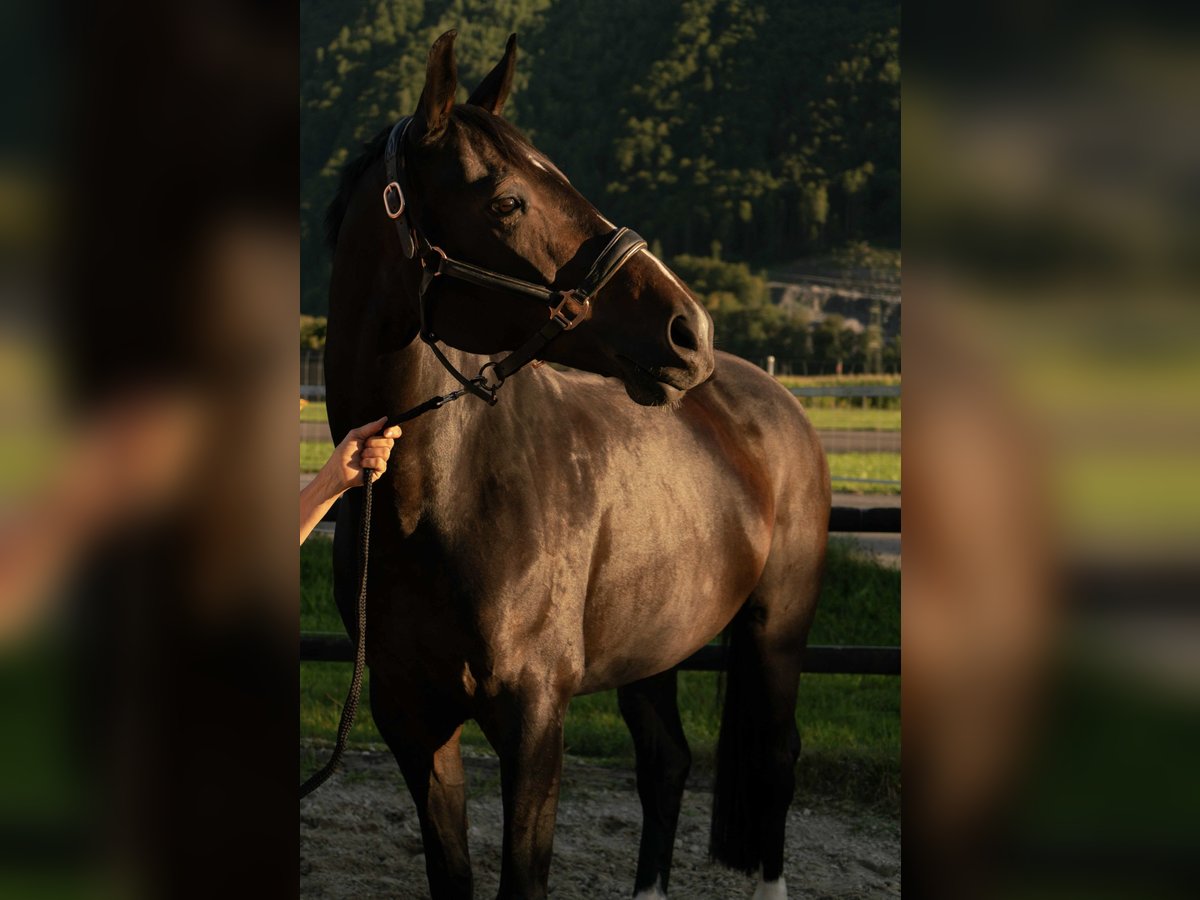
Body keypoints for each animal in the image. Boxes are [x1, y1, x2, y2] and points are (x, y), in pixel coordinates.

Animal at [322, 30, 830, 900]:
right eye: (506, 202)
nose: (688, 329)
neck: (438, 499)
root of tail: (777, 402)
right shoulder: (411, 720)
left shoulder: (534, 723)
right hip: (656, 642)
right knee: (667, 764)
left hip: (776, 634)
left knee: (774, 761)